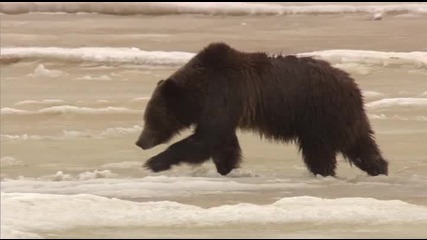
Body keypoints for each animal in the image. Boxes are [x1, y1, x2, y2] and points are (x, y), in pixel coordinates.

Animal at [135, 42, 390, 176]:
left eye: (151, 118)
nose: (140, 142)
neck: (200, 92)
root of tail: (352, 85)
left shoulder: (223, 97)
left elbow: (205, 139)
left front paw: (154, 162)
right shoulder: (224, 109)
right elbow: (223, 143)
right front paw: (226, 167)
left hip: (321, 114)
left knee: (324, 149)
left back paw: (325, 171)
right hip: (339, 117)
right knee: (360, 143)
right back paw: (379, 166)